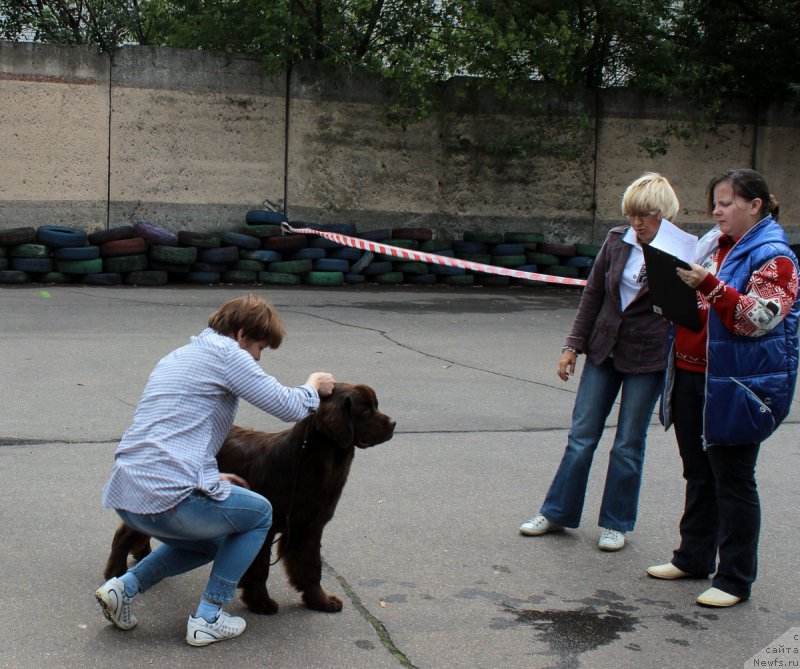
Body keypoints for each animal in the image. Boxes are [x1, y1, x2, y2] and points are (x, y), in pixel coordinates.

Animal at [103, 384, 396, 612]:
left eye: (376, 405)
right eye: (366, 410)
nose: (393, 424)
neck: (312, 462)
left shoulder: (309, 528)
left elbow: (311, 567)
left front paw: (320, 601)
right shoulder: (268, 527)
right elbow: (259, 569)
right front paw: (260, 602)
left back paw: (140, 554)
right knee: (124, 532)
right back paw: (115, 571)